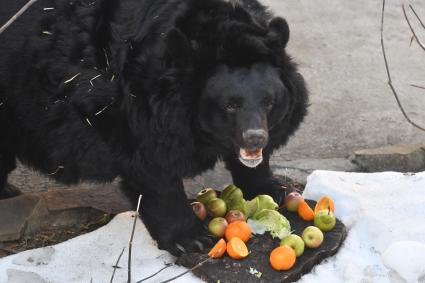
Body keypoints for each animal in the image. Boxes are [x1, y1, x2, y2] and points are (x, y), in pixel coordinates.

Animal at [0, 0, 304, 258]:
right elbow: (154, 169)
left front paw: (271, 188)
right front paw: (191, 238)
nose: (255, 138)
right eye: (230, 105)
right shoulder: (140, 104)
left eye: (269, 102)